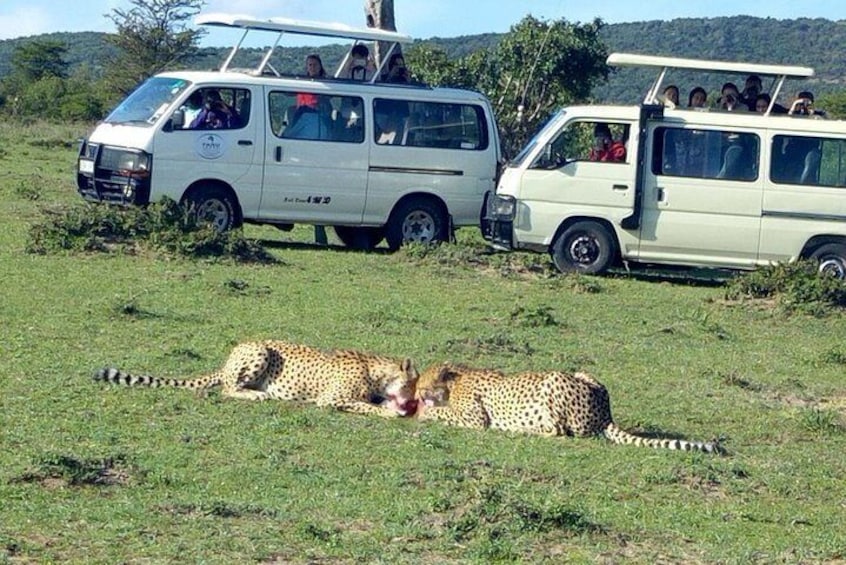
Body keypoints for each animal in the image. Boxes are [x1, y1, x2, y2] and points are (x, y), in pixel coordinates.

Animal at [414, 364, 724, 452]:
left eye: (422, 384)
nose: (415, 393)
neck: (455, 379)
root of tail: (605, 414)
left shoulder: (475, 419)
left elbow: (444, 412)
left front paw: (425, 413)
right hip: (583, 374)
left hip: (553, 381)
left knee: (558, 431)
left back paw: (523, 431)